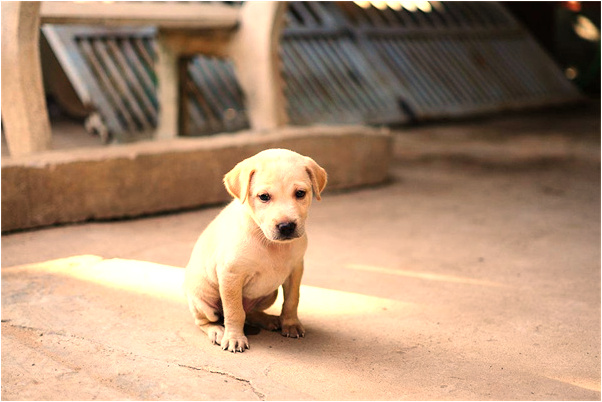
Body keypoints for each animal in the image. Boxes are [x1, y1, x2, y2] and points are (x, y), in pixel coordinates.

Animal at [183, 148, 326, 352]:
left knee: (250, 313)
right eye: (264, 197)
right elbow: (234, 311)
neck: (270, 244)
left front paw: (290, 324)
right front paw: (234, 338)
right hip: (204, 299)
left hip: (269, 294)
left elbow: (292, 300)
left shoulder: (296, 269)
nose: (286, 226)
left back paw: (268, 320)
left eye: (300, 193)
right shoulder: (231, 275)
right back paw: (217, 331)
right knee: (207, 320)